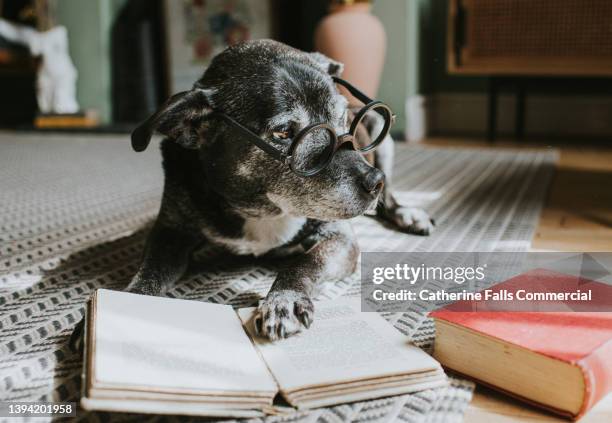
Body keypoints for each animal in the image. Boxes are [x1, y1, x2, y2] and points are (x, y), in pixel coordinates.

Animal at [124, 40, 432, 342]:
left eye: (343, 116)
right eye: (283, 132)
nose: (374, 181)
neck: (260, 208)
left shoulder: (339, 237)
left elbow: (304, 263)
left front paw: (284, 300)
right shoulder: (170, 232)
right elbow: (148, 272)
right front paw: (129, 302)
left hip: (382, 132)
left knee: (391, 197)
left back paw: (408, 214)